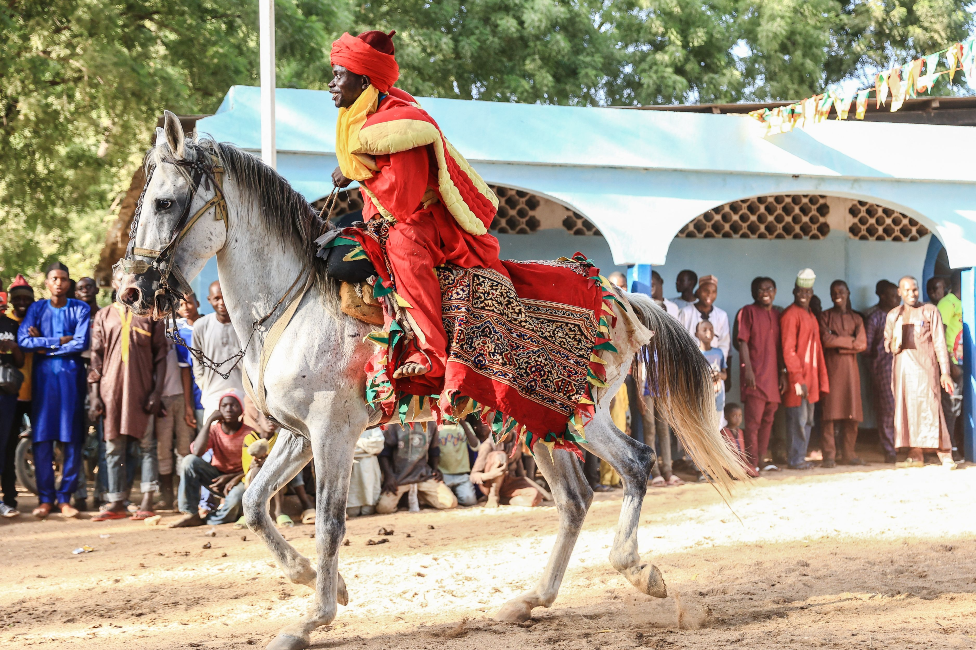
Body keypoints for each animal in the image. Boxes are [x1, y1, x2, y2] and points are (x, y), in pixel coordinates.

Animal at [122, 111, 748, 648]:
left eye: (164, 201)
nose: (130, 289)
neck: (296, 300)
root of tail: (621, 297)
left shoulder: (332, 432)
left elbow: (329, 523)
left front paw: (310, 619)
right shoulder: (299, 434)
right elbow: (253, 504)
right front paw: (320, 583)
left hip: (578, 412)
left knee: (636, 465)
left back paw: (639, 572)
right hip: (540, 418)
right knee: (575, 499)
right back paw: (530, 601)